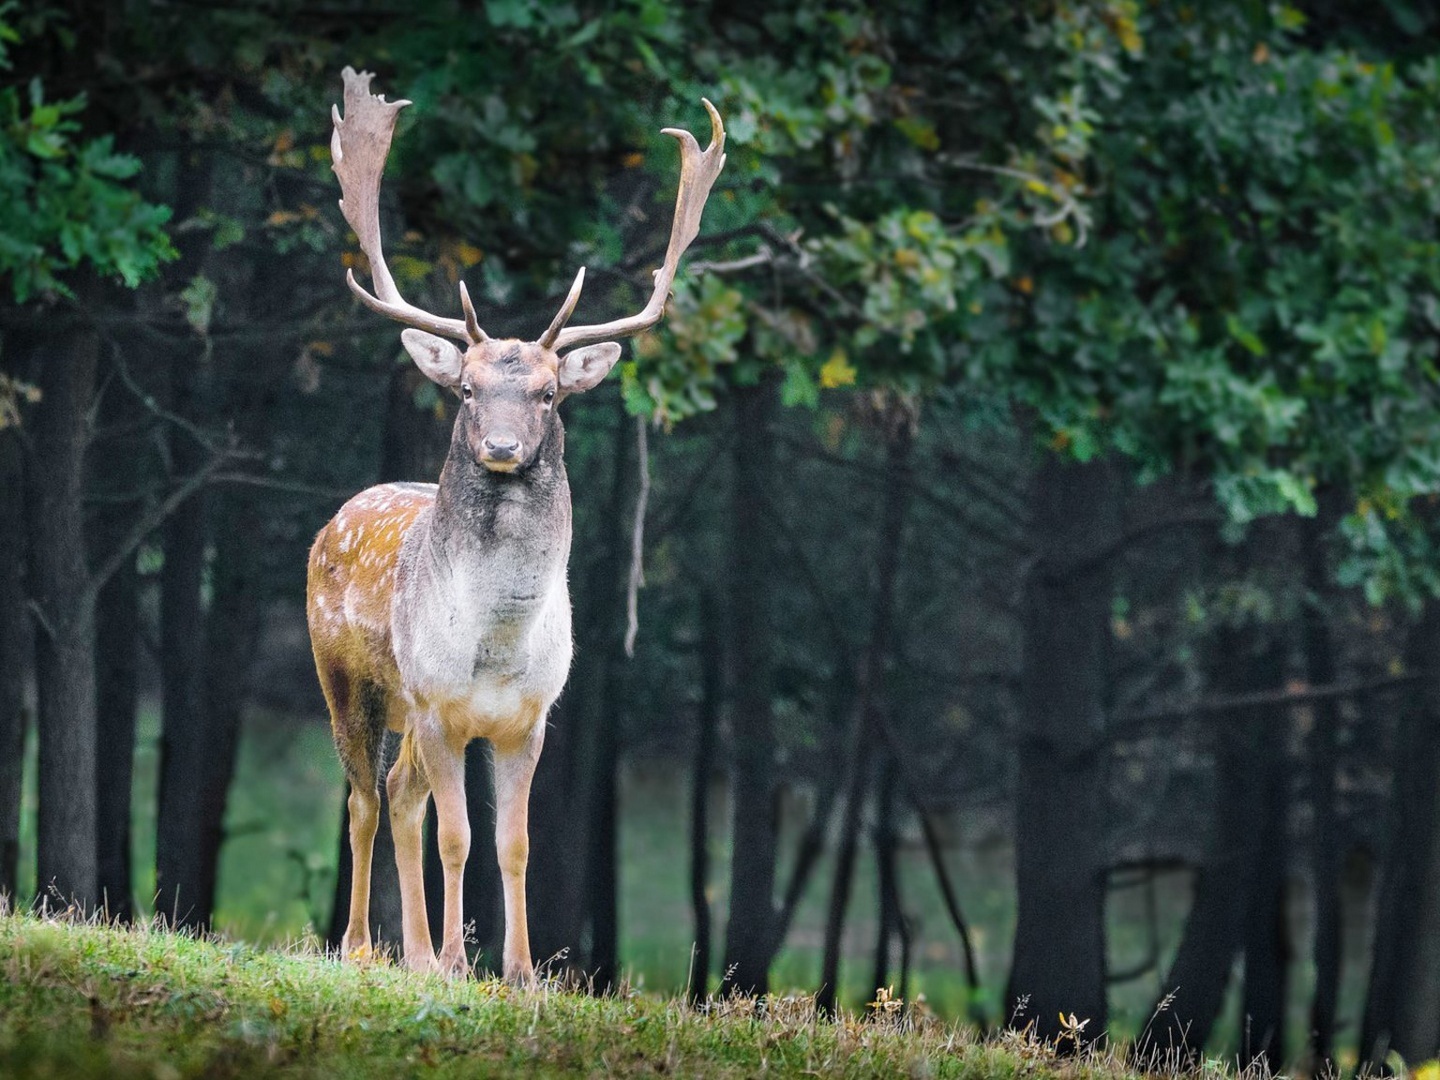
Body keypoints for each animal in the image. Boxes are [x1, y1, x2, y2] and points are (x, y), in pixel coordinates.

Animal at [309, 63, 725, 984]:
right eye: (467, 388)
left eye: (547, 393)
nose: (501, 446)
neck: (496, 646)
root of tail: (336, 517)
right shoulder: (437, 705)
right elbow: (458, 838)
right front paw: (459, 963)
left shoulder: (531, 718)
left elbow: (515, 843)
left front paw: (521, 970)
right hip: (347, 679)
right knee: (363, 798)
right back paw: (362, 947)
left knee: (398, 797)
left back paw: (413, 953)